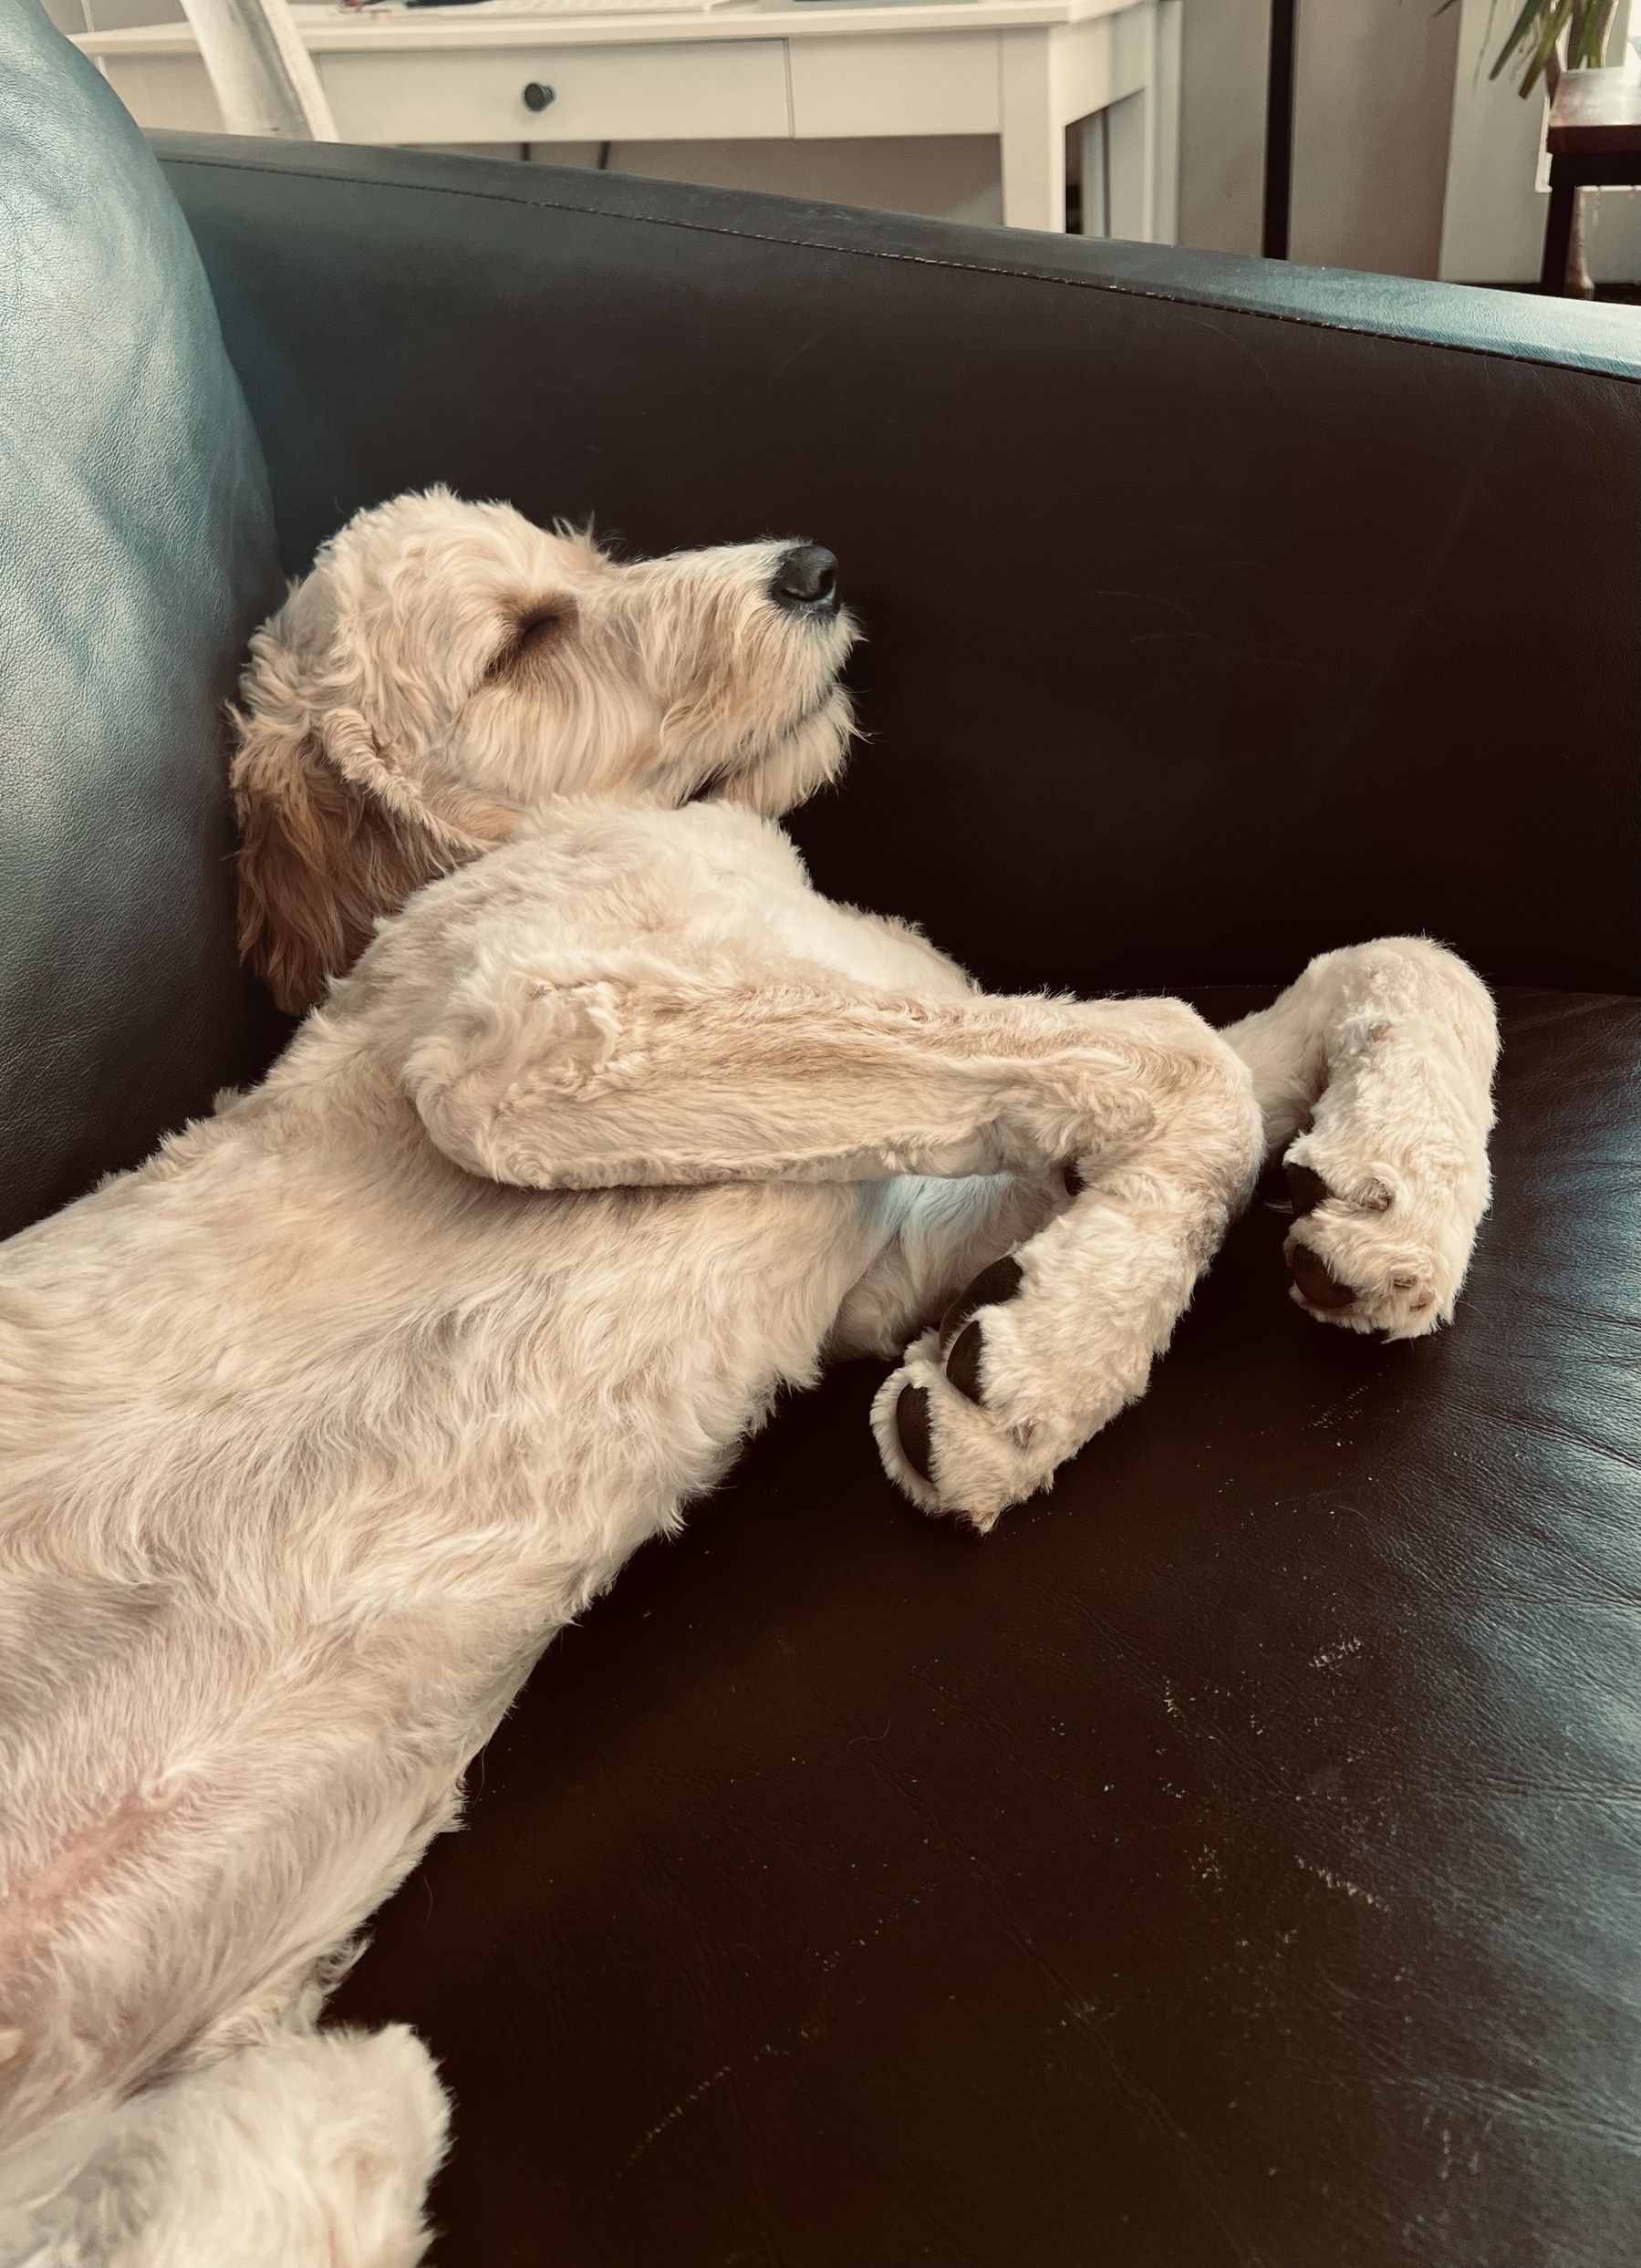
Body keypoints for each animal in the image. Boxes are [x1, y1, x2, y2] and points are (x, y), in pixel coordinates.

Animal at [0, 487, 1498, 2259]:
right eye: (520, 639)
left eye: (582, 558)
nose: (813, 570)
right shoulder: (541, 1040)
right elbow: (1167, 1047)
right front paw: (1051, 1369)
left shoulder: (880, 1245)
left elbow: (1381, 964)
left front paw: (1383, 1207)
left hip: (302, 2112)